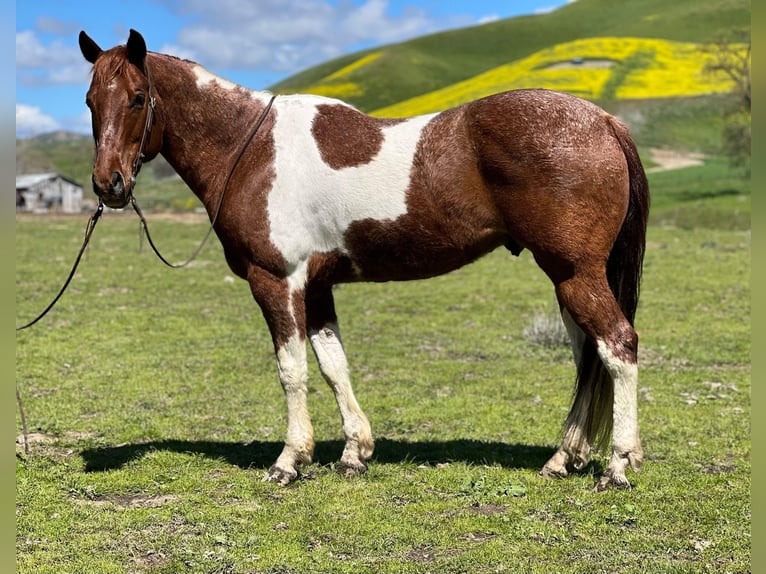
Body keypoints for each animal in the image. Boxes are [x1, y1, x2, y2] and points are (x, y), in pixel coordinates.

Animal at [81, 29, 652, 492]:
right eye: (90, 101)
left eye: (137, 98)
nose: (109, 185)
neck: (250, 148)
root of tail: (603, 121)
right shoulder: (316, 287)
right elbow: (334, 367)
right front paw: (354, 453)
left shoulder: (277, 281)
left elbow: (292, 370)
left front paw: (289, 461)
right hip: (565, 278)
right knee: (587, 357)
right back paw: (563, 459)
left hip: (575, 274)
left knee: (617, 347)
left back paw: (618, 465)